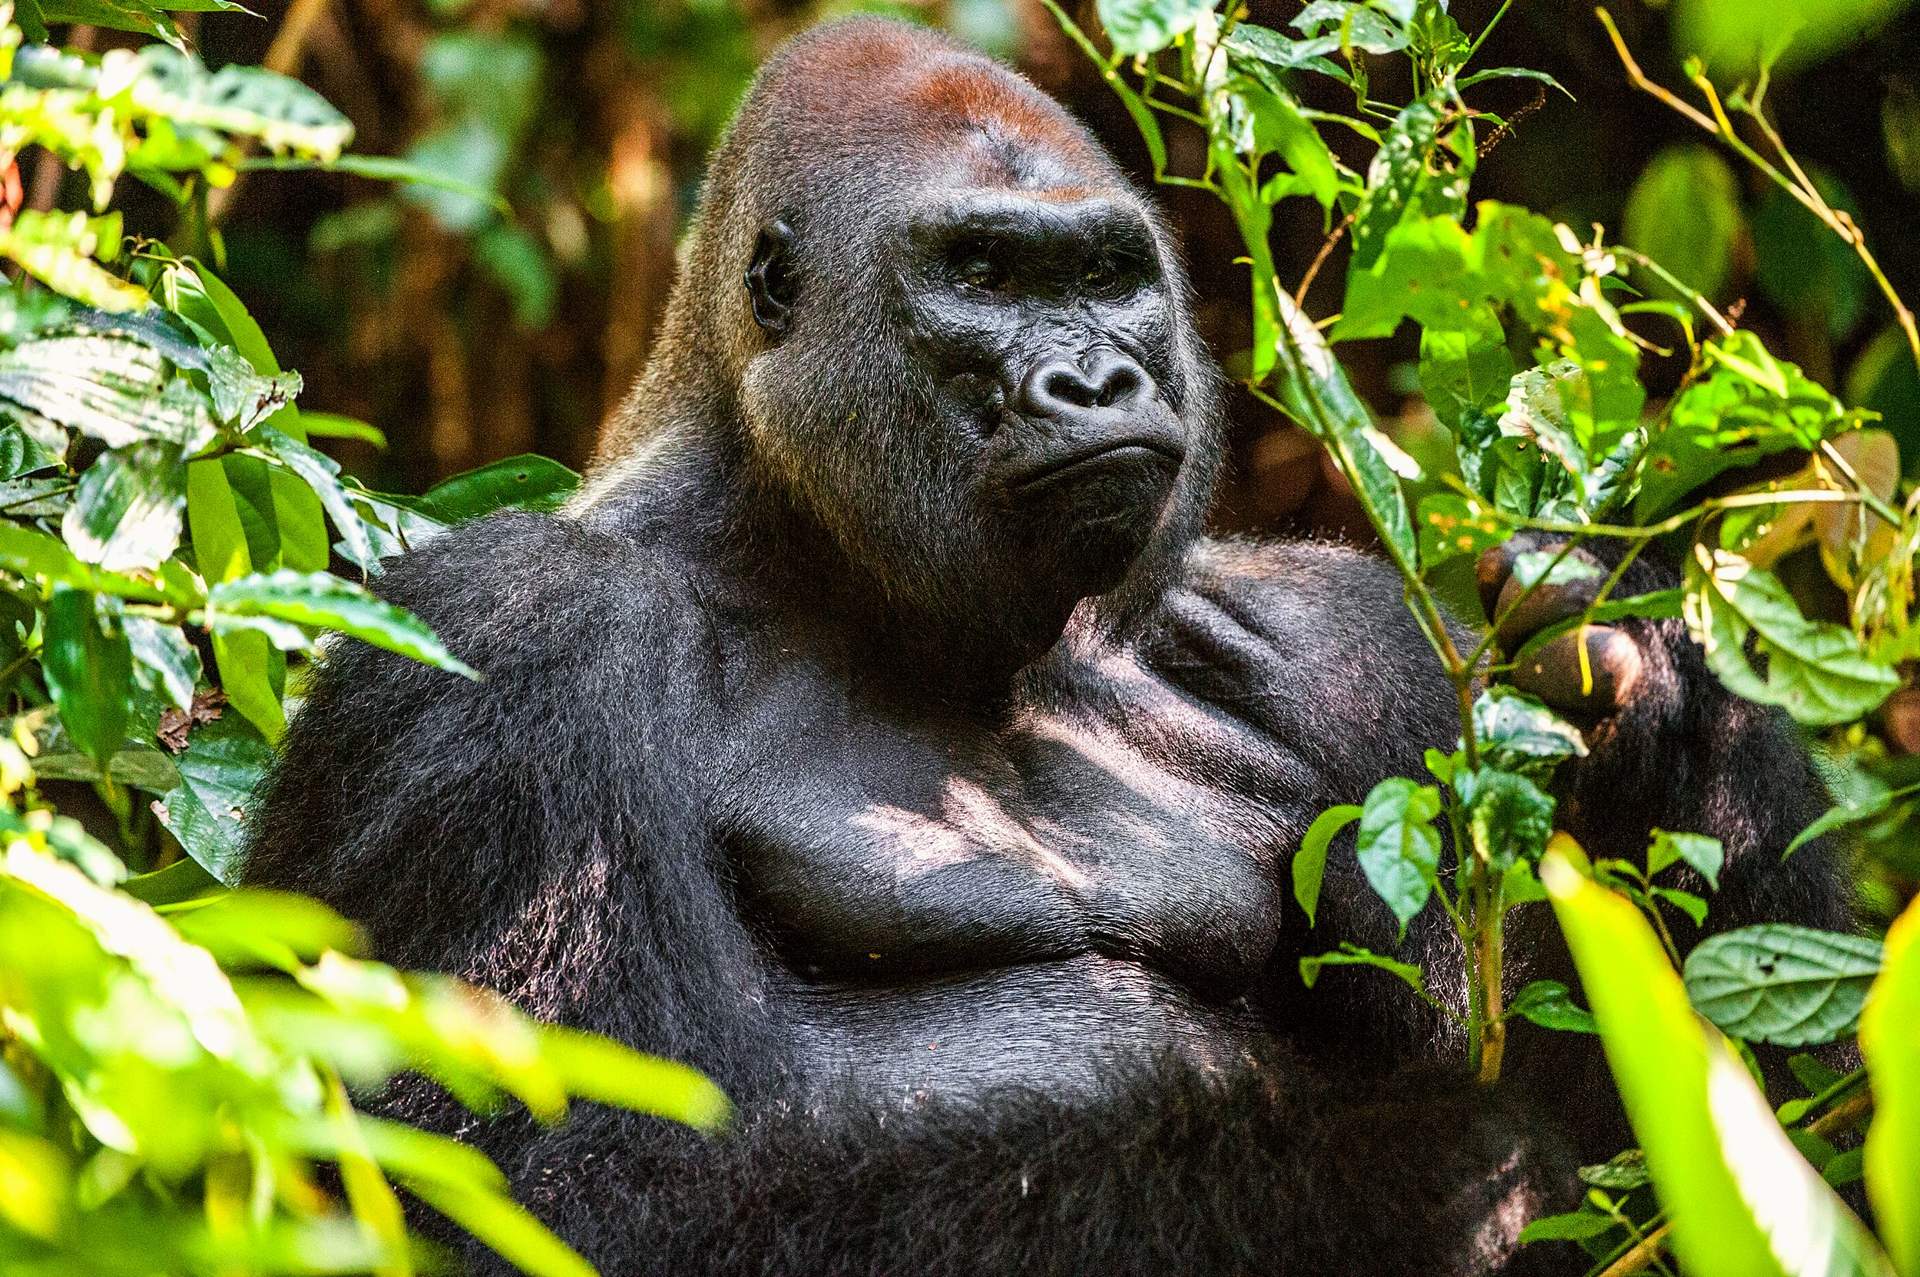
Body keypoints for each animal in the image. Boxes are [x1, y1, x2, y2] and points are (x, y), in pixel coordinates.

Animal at [236, 19, 1843, 1275]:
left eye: (1107, 276)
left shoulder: (1359, 651)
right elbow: (565, 1190)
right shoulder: (507, 636)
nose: (1097, 379)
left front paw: (1658, 705)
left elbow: (1749, 1125)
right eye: (984, 275)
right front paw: (1433, 1178)